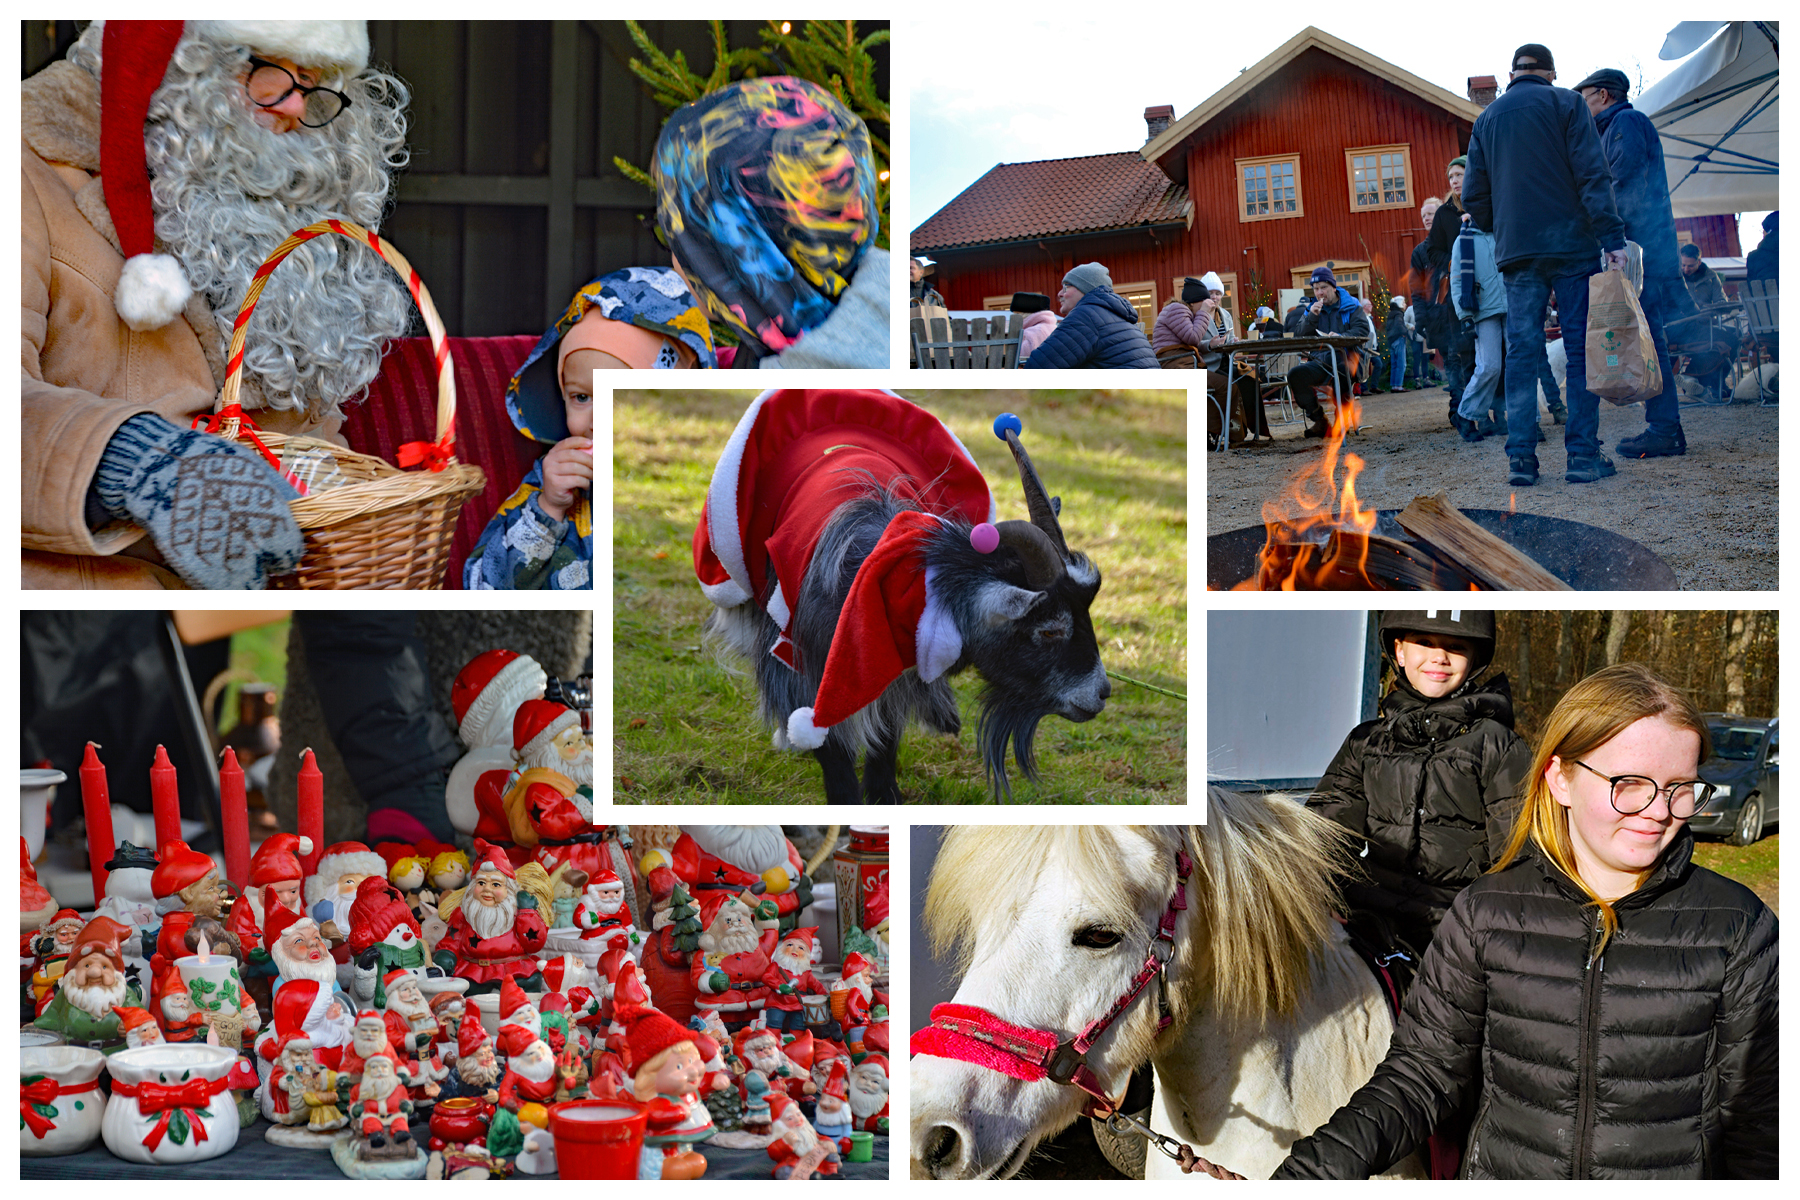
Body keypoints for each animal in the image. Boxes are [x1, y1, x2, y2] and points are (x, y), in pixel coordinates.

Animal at [691, 390, 1101, 802]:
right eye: (1050, 630)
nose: (1102, 693)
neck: (894, 579)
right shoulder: (807, 661)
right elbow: (829, 743)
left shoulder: (900, 661)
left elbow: (887, 730)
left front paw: (884, 794)